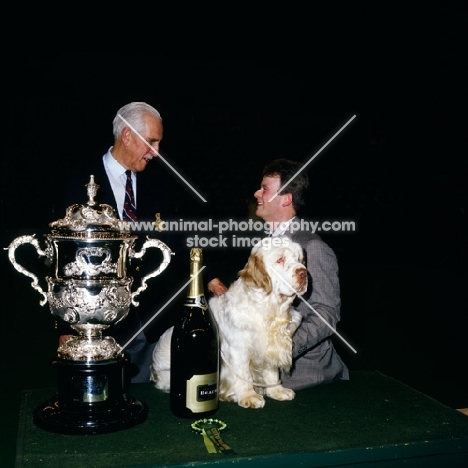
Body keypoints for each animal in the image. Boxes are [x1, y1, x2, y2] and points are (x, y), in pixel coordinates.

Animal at [152, 239, 308, 408]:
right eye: (280, 260)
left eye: (299, 260)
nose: (303, 273)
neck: (267, 309)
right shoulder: (238, 349)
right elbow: (243, 374)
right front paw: (248, 396)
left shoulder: (269, 345)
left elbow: (271, 372)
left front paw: (277, 391)